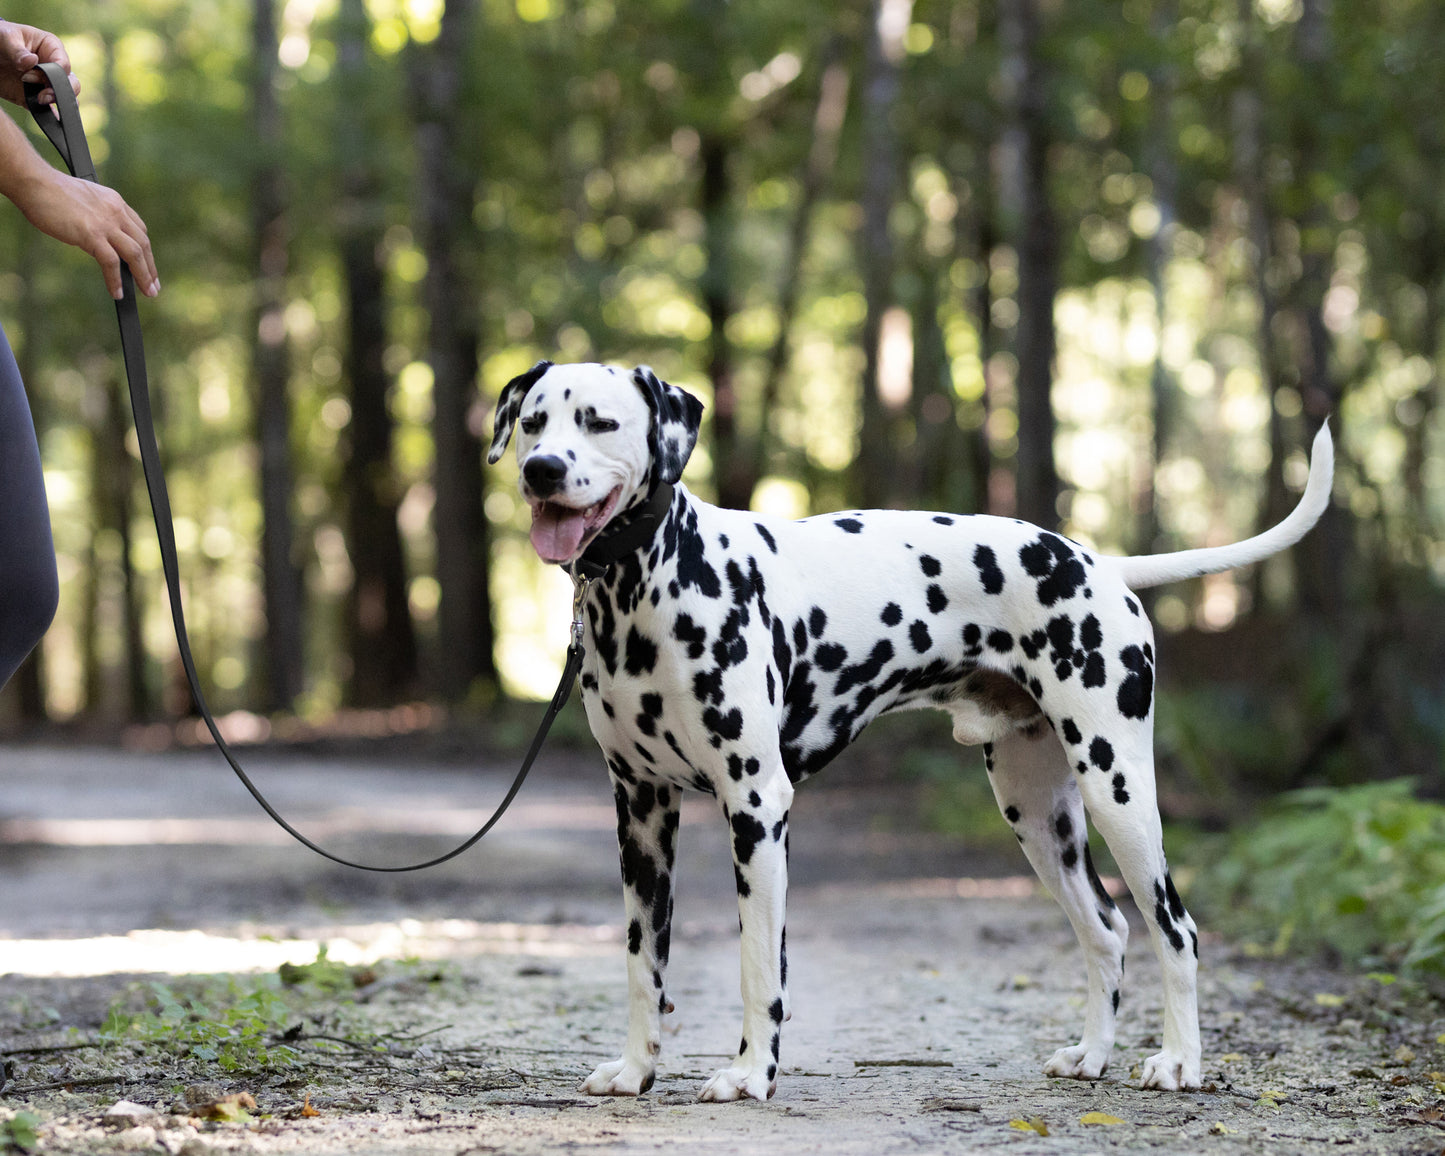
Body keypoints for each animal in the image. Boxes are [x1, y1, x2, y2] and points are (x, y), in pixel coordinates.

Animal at [485, 358, 1329, 1103]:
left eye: (599, 421)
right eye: (533, 423)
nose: (542, 470)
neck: (647, 587)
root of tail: (1099, 563)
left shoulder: (755, 807)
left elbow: (758, 963)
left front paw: (750, 1075)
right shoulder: (640, 814)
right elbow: (642, 963)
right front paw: (635, 1071)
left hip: (1117, 789)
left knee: (1174, 928)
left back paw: (1179, 1062)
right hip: (1038, 815)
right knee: (1107, 930)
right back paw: (1090, 1056)